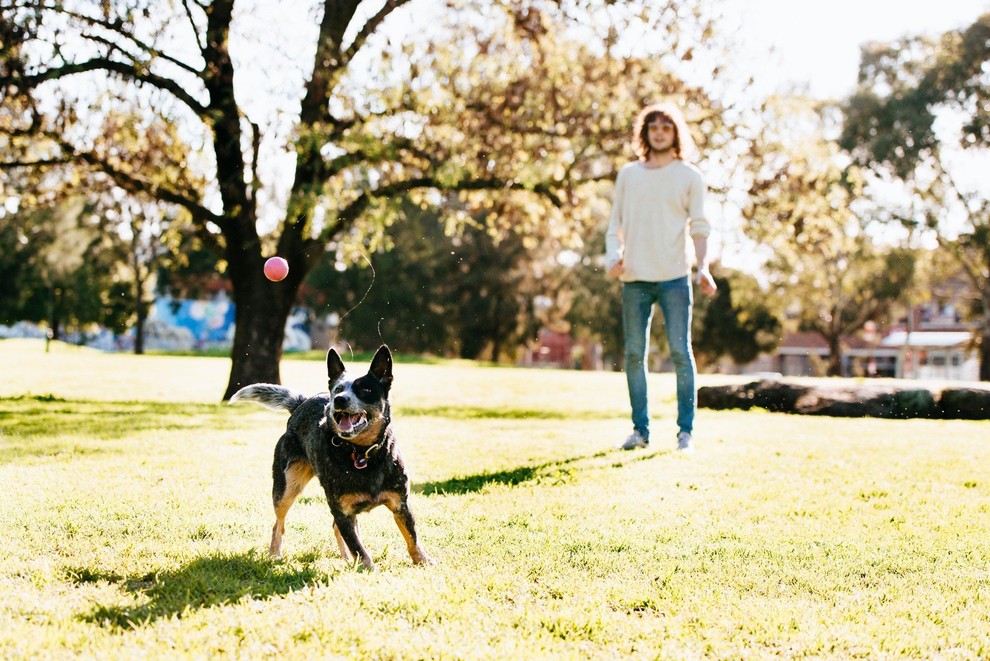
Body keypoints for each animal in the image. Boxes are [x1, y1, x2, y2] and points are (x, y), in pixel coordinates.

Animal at [232, 346, 434, 568]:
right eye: (338, 389)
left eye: (365, 389)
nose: (339, 399)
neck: (362, 453)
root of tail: (302, 402)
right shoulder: (341, 510)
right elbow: (358, 547)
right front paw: (368, 568)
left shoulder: (401, 503)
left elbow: (412, 537)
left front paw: (423, 561)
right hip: (286, 488)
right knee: (279, 524)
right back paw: (275, 555)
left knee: (335, 529)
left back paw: (345, 559)